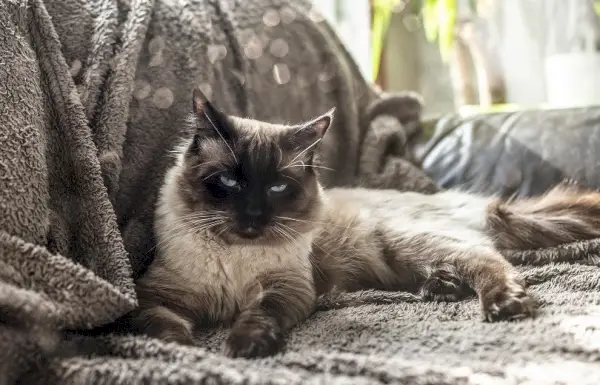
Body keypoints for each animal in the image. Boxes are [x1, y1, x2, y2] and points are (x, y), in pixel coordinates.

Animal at [131, 87, 600, 356]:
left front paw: (244, 346)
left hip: (400, 242)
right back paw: (441, 287)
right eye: (229, 181)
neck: (236, 262)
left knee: (489, 261)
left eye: (277, 188)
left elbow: (259, 314)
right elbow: (156, 322)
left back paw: (504, 304)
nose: (253, 216)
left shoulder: (286, 288)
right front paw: (185, 348)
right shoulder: (151, 295)